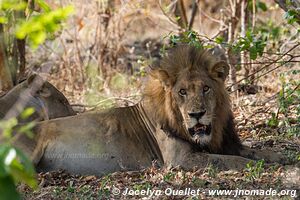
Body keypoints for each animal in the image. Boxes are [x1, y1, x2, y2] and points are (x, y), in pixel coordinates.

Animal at [9, 45, 284, 175]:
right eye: (182, 92)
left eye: (206, 88)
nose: (196, 114)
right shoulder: (181, 159)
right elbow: (234, 161)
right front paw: (267, 167)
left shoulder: (225, 143)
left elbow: (255, 151)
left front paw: (280, 157)